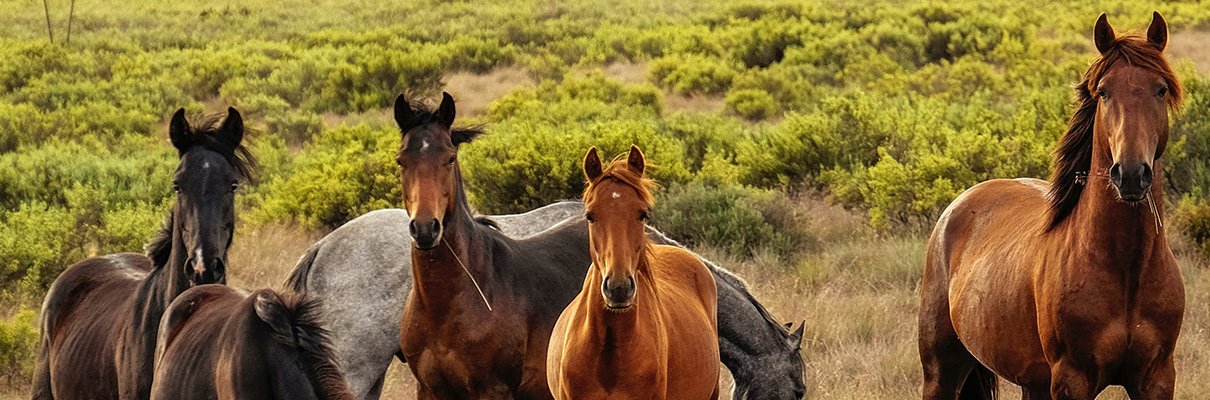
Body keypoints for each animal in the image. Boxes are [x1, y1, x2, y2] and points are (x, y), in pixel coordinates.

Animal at [919, 11, 1185, 400]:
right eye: (1104, 91)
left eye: (1161, 89)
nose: (1131, 175)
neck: (1127, 268)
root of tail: (957, 207)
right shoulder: (1071, 379)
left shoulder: (1156, 378)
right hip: (941, 370)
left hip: (1033, 381)